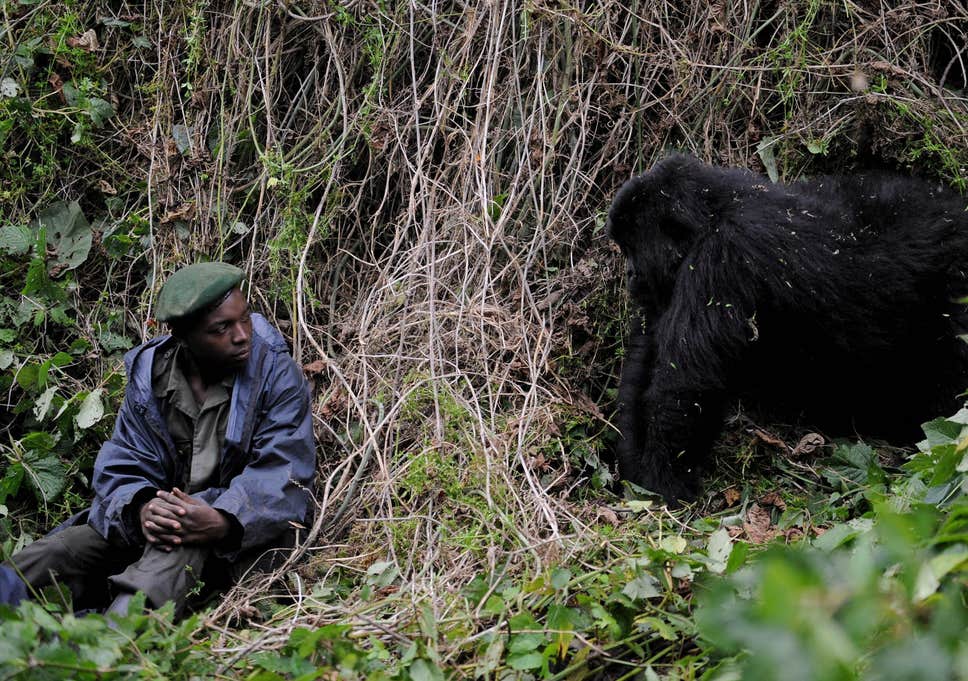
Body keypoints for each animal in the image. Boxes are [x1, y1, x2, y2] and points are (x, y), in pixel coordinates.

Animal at [608, 155, 968, 504]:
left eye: (633, 247)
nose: (630, 276)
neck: (715, 209)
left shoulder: (724, 256)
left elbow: (686, 382)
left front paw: (664, 482)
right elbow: (645, 360)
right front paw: (635, 470)